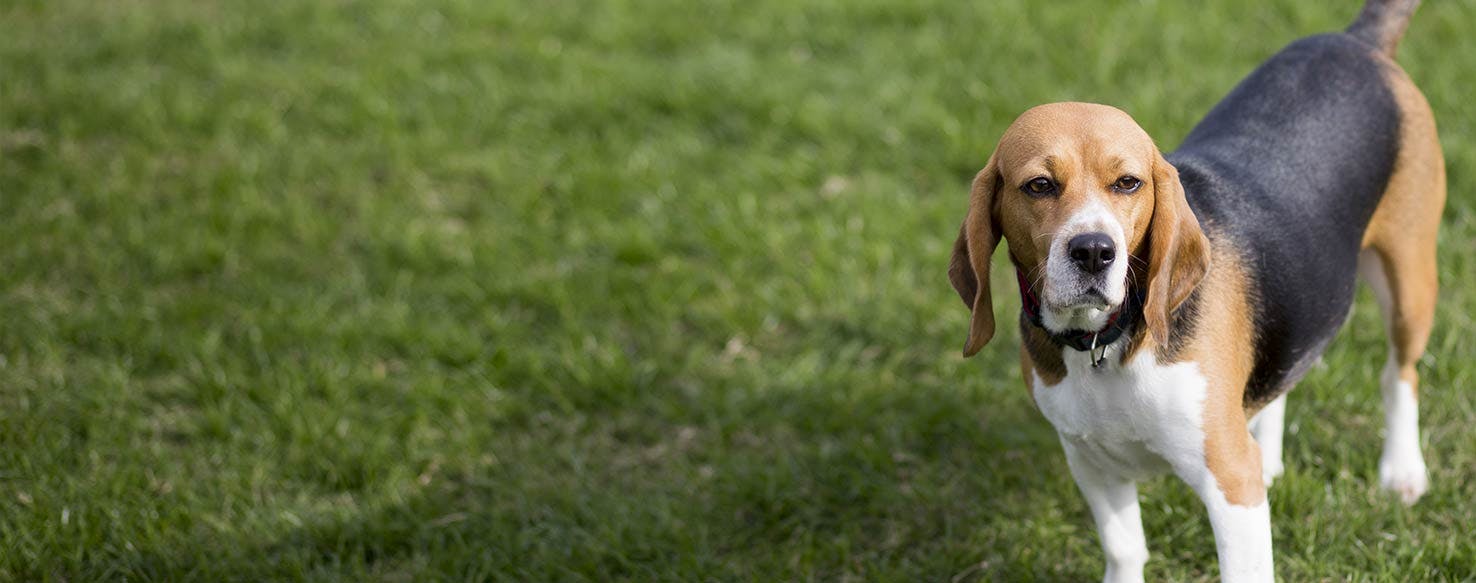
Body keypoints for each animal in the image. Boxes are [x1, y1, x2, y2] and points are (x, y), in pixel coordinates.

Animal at [944, 0, 1440, 578]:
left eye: (1128, 183)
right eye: (1039, 186)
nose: (1094, 251)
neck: (1106, 344)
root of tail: (1359, 41)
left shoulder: (1230, 484)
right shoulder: (1091, 462)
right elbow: (1124, 549)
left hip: (1409, 281)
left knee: (1399, 375)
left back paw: (1401, 471)